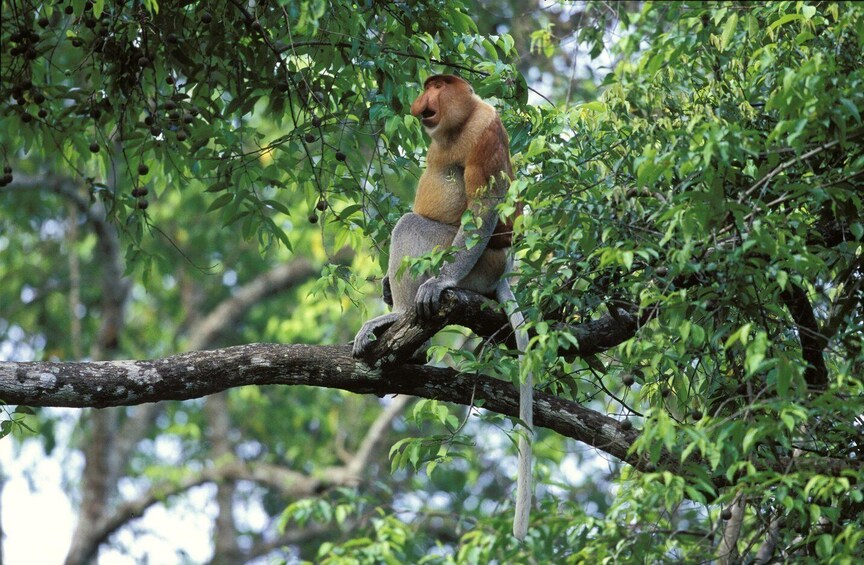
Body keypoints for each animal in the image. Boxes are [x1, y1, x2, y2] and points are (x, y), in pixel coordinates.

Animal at [352, 75, 533, 540]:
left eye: (438, 86)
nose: (422, 103)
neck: (461, 122)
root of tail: (502, 271)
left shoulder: (485, 131)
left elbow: (483, 203)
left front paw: (436, 285)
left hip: (469, 259)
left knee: (410, 226)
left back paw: (397, 321)